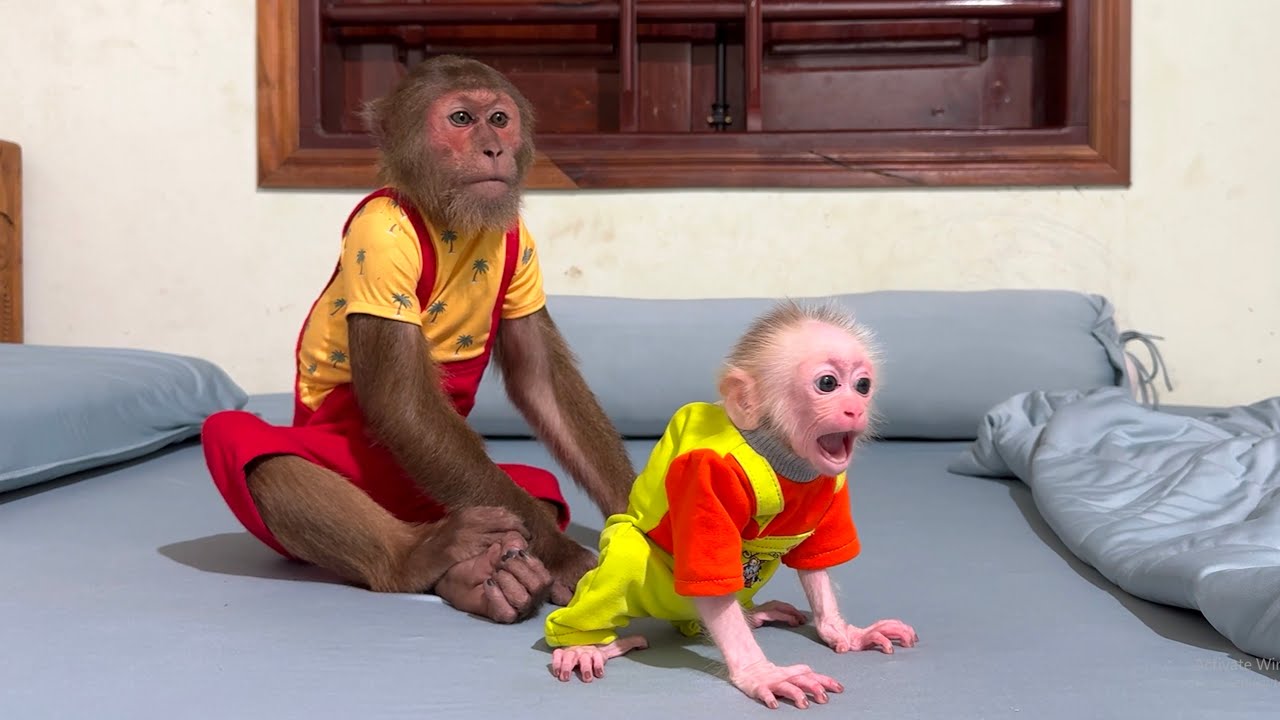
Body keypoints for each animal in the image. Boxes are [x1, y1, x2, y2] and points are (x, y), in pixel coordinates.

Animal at [200, 55, 637, 624]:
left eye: (499, 119)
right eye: (460, 119)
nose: (493, 148)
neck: (449, 217)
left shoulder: (523, 246)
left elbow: (541, 382)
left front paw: (649, 517)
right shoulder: (377, 239)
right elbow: (401, 403)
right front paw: (565, 556)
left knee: (537, 487)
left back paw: (488, 578)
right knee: (250, 447)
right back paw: (419, 559)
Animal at [542, 300, 918, 709]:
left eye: (863, 386)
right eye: (828, 384)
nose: (855, 408)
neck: (777, 452)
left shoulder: (834, 482)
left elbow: (814, 564)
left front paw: (841, 630)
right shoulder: (706, 472)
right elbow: (712, 577)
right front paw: (760, 673)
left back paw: (753, 616)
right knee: (630, 556)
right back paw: (583, 644)